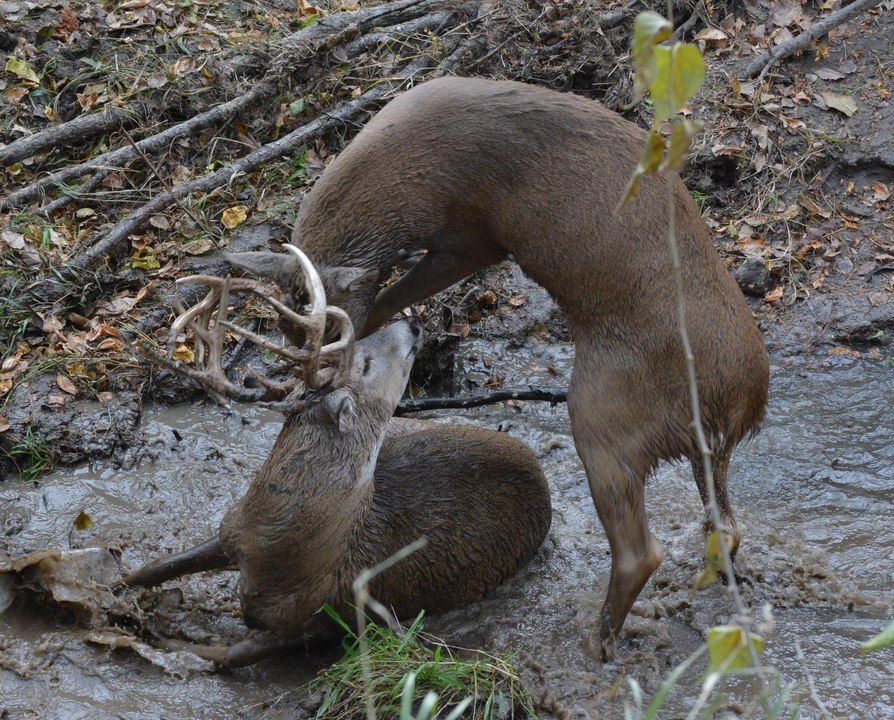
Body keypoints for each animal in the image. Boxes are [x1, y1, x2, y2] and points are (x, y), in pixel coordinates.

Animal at [123, 245, 552, 668]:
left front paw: (157, 635)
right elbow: (155, 567)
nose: (413, 322)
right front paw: (119, 588)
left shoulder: (329, 615)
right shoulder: (231, 528)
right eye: (363, 359)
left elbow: (227, 656)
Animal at [224, 76, 770, 660]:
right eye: (287, 331)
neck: (403, 175)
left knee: (640, 551)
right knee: (724, 526)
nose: (317, 386)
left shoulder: (473, 236)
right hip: (701, 449)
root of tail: (744, 402)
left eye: (330, 333)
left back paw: (595, 640)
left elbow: (385, 302)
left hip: (602, 409)